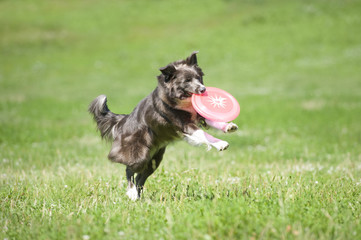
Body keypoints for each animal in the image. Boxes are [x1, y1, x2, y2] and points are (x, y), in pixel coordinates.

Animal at [88, 51, 238, 201]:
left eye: (199, 77)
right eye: (187, 80)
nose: (203, 89)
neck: (181, 100)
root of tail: (123, 121)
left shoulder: (197, 115)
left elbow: (211, 120)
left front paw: (228, 126)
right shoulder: (184, 124)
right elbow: (203, 134)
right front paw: (221, 144)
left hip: (154, 160)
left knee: (140, 178)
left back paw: (139, 197)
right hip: (139, 154)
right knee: (129, 170)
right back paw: (131, 193)